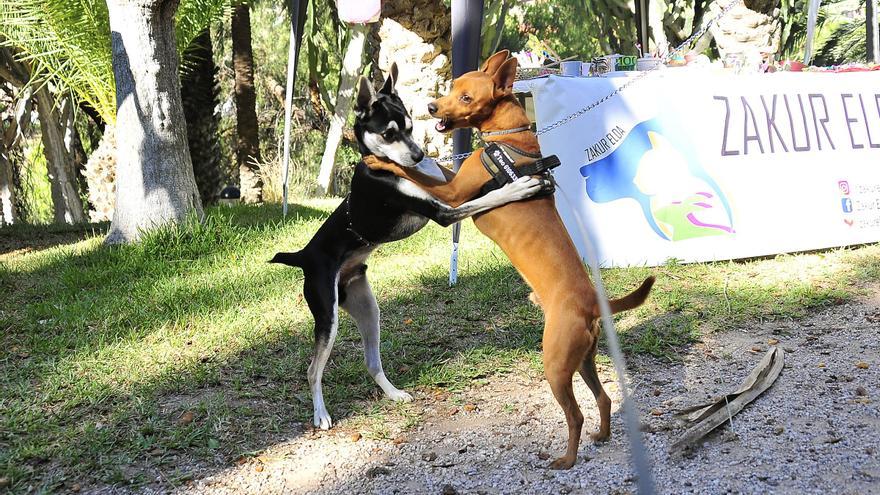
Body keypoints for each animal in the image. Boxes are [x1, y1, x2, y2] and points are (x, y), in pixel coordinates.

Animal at [270, 65, 544, 430]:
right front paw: (519, 186)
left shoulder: (448, 185)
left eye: (412, 127)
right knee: (313, 370)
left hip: (368, 310)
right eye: (388, 134)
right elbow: (486, 198)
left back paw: (394, 394)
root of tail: (303, 256)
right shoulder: (444, 211)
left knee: (371, 362)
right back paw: (321, 414)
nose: (418, 156)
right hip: (328, 316)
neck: (378, 163)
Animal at [368, 52, 656, 470]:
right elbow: (432, 166)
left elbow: (412, 171)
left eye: (466, 97)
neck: (508, 138)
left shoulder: (454, 193)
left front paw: (380, 161)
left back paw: (566, 459)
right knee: (603, 398)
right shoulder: (455, 180)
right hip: (583, 359)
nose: (432, 107)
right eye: (453, 87)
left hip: (556, 365)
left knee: (576, 414)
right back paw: (602, 436)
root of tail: (592, 303)